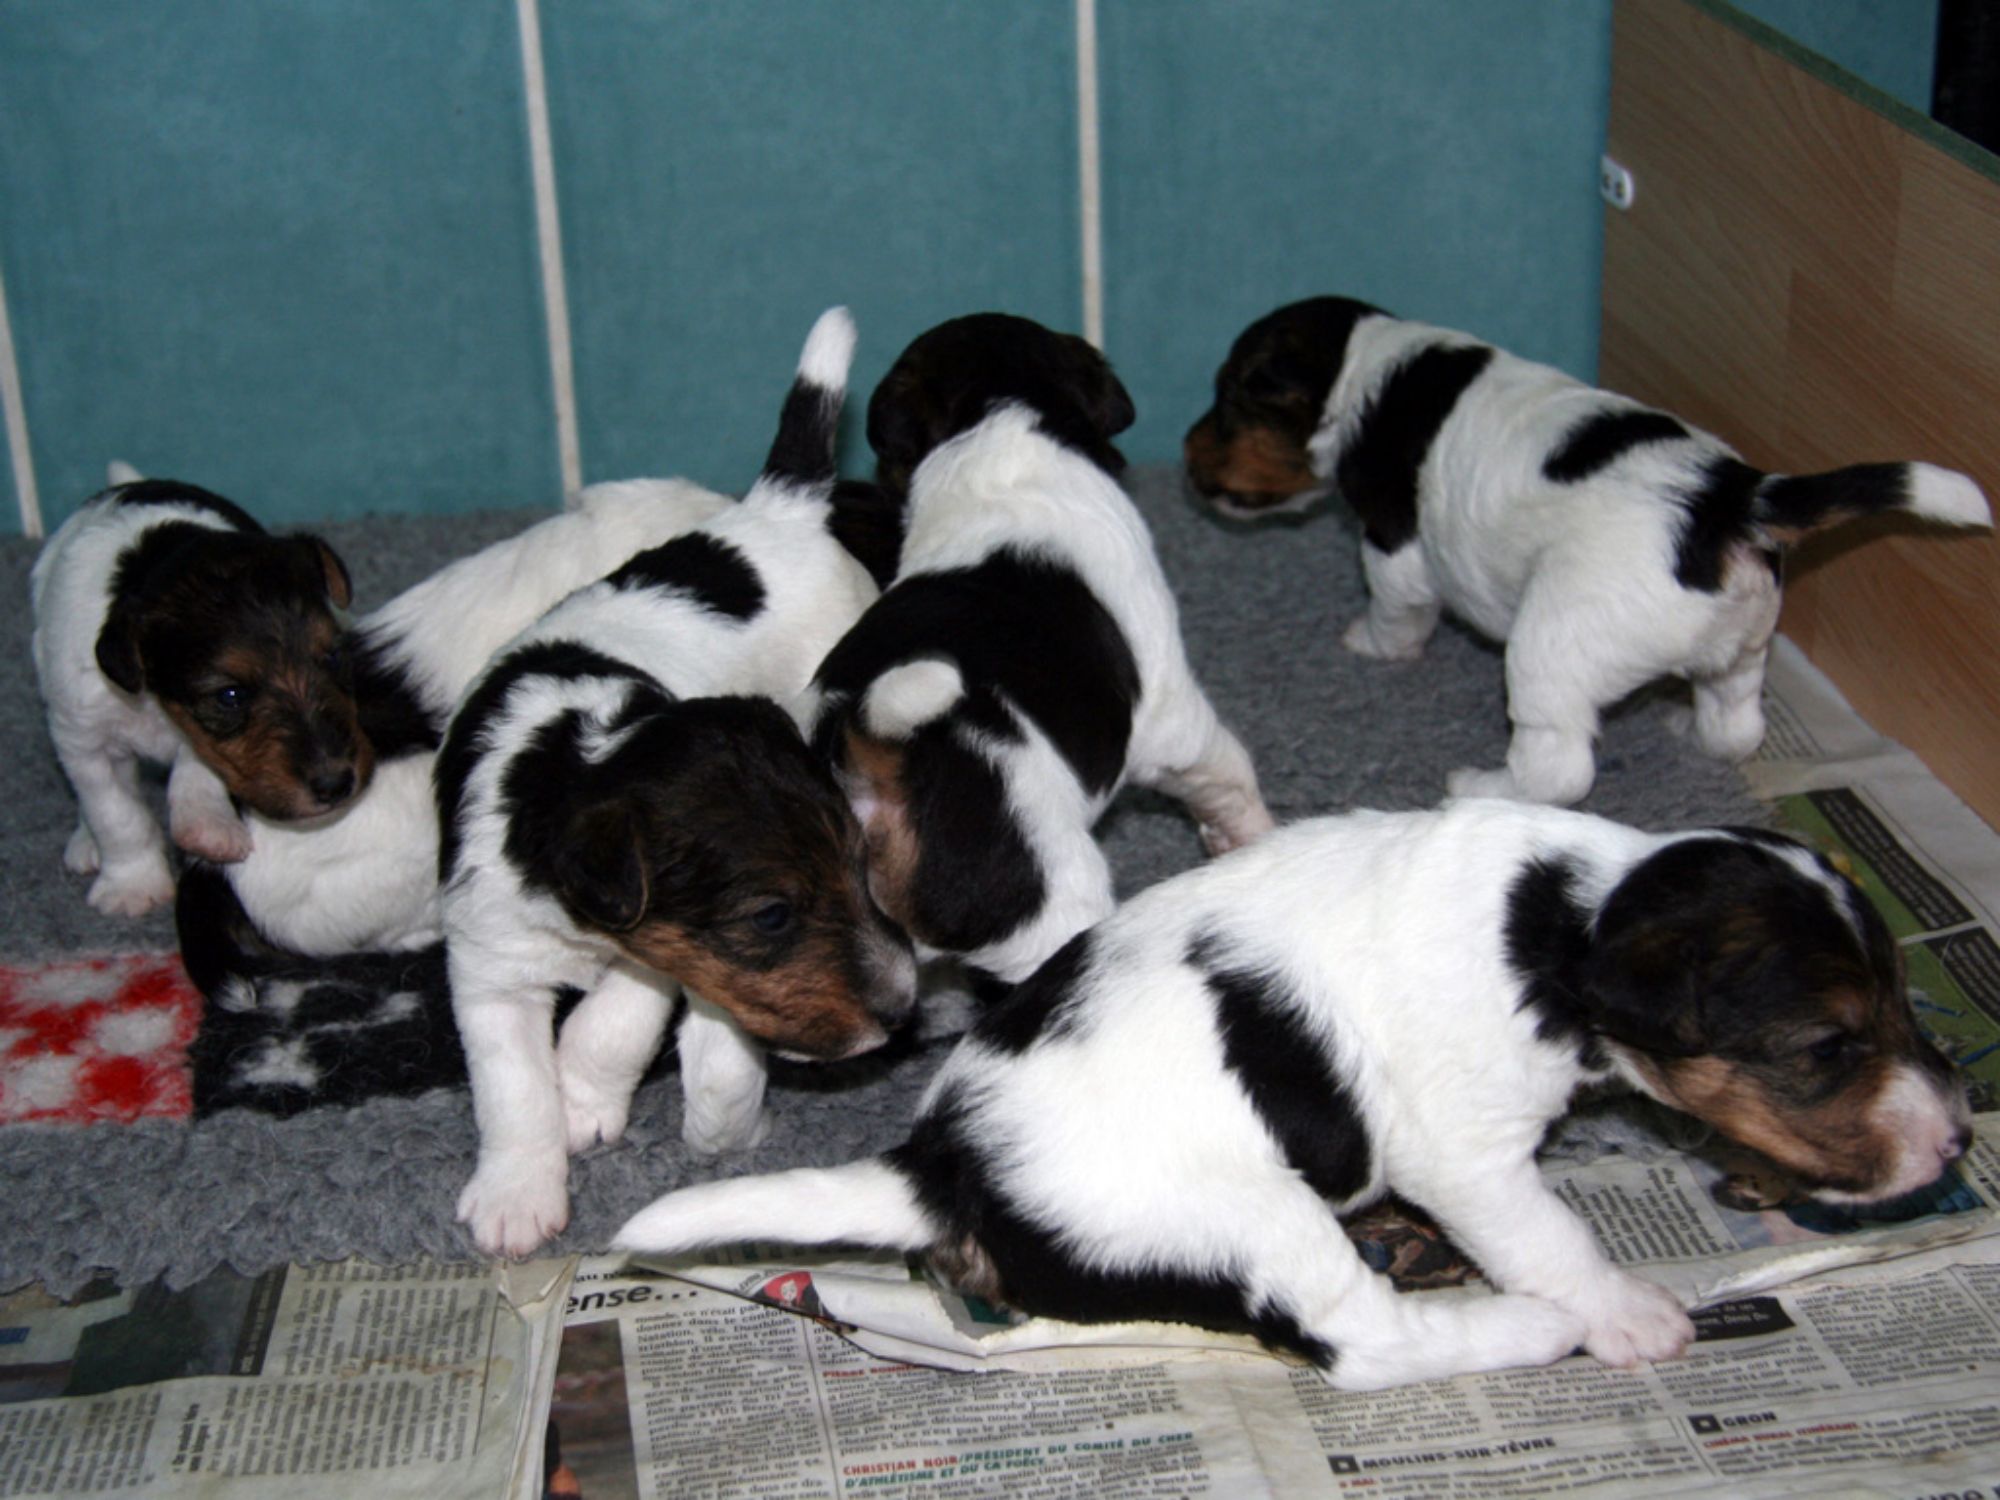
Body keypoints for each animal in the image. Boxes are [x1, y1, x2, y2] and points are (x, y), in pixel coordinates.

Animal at [32, 478, 366, 916]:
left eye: (334, 657)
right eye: (229, 695)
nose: (336, 785)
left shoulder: (202, 742)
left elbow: (197, 762)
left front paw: (208, 826)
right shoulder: (84, 737)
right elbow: (115, 812)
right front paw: (133, 886)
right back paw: (86, 842)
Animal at [437, 307, 917, 1256]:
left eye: (859, 868)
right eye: (771, 916)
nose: (903, 1006)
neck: (578, 760)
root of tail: (778, 507)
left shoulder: (653, 952)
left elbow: (616, 1019)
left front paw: (582, 1095)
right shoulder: (485, 960)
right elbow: (510, 1085)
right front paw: (517, 1195)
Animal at [615, 798, 1971, 1390]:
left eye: (1905, 1011)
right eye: (1825, 1047)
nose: (1957, 1138)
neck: (1565, 920)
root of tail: (944, 1165)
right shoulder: (1467, 1153)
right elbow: (1552, 1235)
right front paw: (1626, 1311)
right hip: (1257, 1220)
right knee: (1362, 1346)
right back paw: (1526, 1330)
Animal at [809, 312, 1274, 991]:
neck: (999, 424)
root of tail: (877, 753)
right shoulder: (1173, 721)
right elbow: (1229, 777)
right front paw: (1254, 841)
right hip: (1052, 911)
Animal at [1184, 296, 1992, 805]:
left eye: (1227, 401)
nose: (1187, 452)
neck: (1363, 369)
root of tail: (1728, 500)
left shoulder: (1393, 548)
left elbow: (1394, 610)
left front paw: (1369, 645)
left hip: (1552, 648)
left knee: (1558, 769)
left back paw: (1482, 789)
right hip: (1742, 645)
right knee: (1737, 726)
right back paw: (1690, 731)